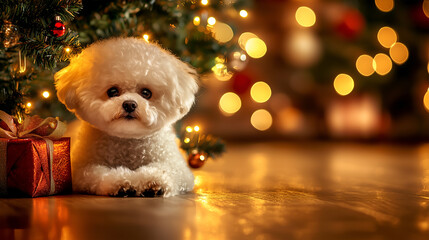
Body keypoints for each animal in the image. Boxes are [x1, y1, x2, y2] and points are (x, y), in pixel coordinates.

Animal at [54, 36, 198, 196]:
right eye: (112, 91)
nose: (129, 104)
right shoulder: (82, 169)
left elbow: (164, 169)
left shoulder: (178, 167)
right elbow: (100, 173)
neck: (127, 142)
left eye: (146, 93)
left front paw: (153, 181)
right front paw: (121, 182)